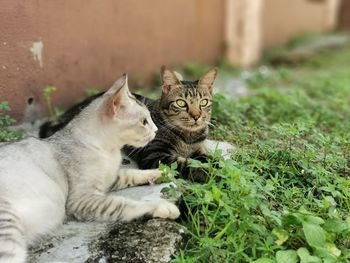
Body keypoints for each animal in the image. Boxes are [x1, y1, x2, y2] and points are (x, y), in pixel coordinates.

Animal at [0, 75, 180, 263]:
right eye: (144, 122)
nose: (156, 130)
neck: (110, 151)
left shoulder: (110, 178)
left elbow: (131, 173)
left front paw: (162, 173)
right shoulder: (82, 199)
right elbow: (123, 204)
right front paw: (162, 207)